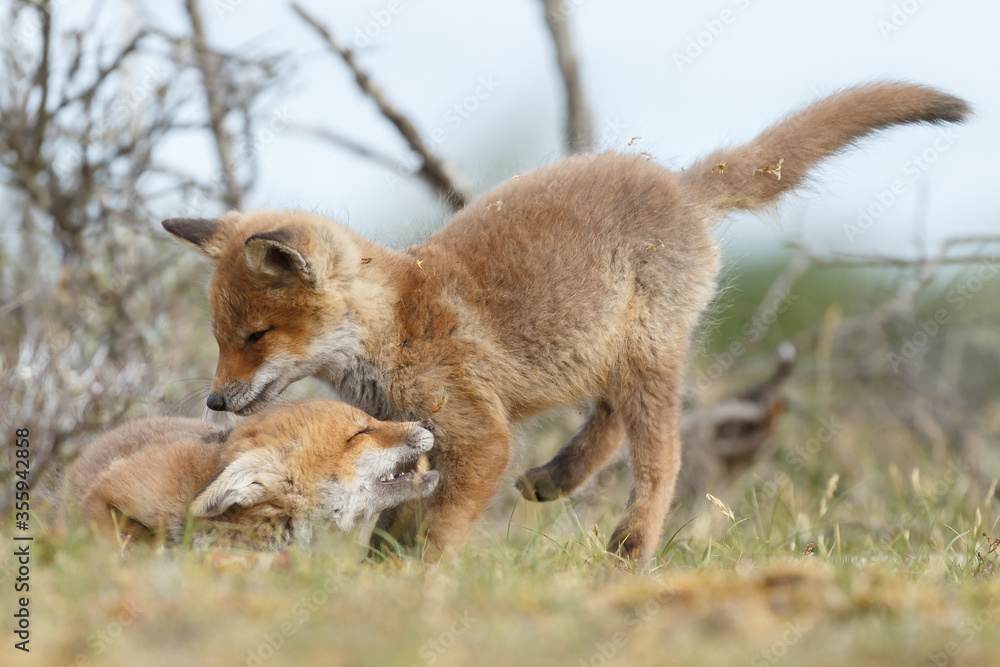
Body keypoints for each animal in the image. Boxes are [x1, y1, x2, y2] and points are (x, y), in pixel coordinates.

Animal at [162, 82, 970, 562]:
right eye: (221, 338)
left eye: (255, 337)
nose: (215, 400)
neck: (396, 326)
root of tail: (677, 183)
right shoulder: (423, 433)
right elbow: (395, 517)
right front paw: (379, 572)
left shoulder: (480, 434)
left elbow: (440, 527)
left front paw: (420, 581)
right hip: (607, 350)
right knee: (608, 420)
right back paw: (557, 478)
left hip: (646, 355)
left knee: (662, 457)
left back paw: (631, 546)